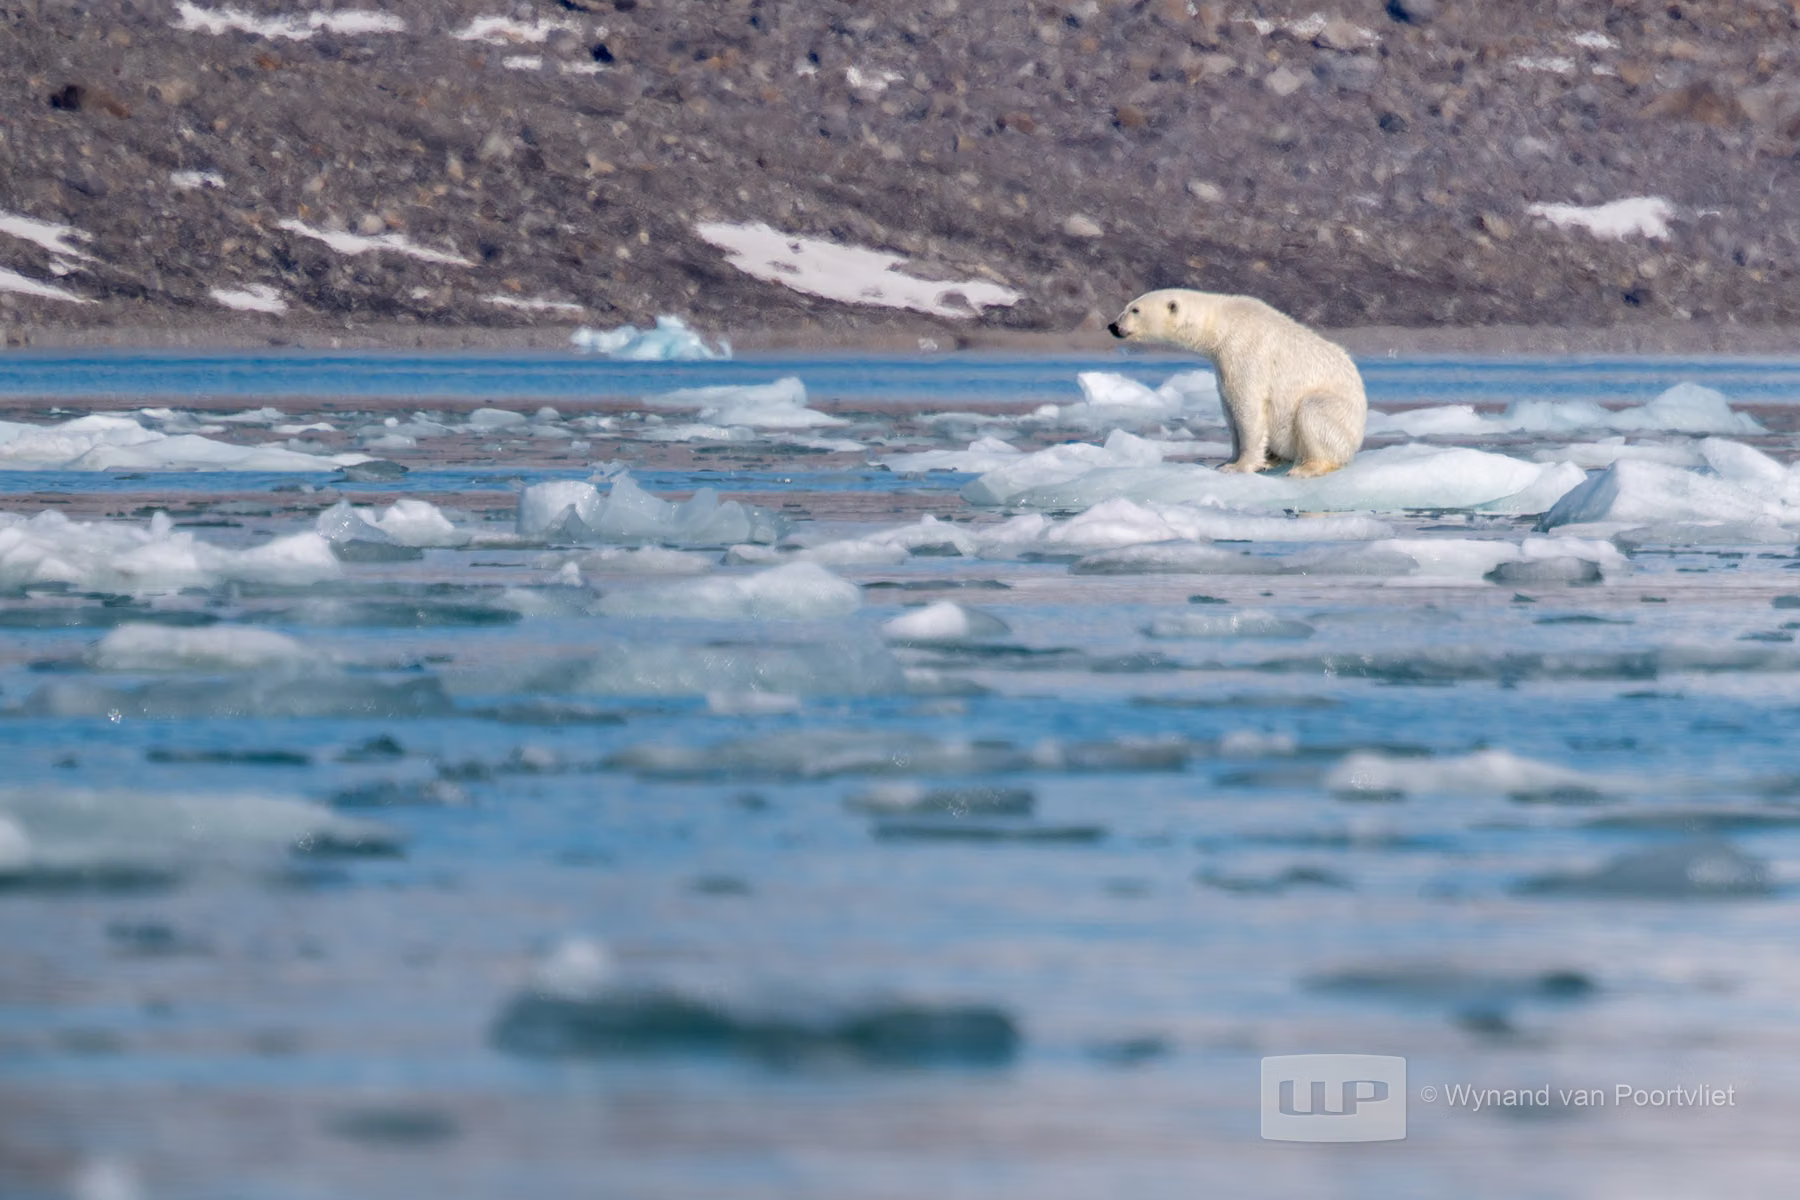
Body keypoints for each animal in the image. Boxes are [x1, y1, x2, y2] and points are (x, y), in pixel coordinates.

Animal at [1109, 289, 1367, 478]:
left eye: (1134, 309)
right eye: (1128, 306)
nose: (1113, 326)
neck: (1224, 322)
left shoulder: (1245, 351)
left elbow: (1248, 409)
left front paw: (1239, 466)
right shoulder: (1222, 363)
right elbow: (1230, 409)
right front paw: (1227, 460)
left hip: (1339, 416)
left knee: (1314, 412)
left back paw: (1306, 468)